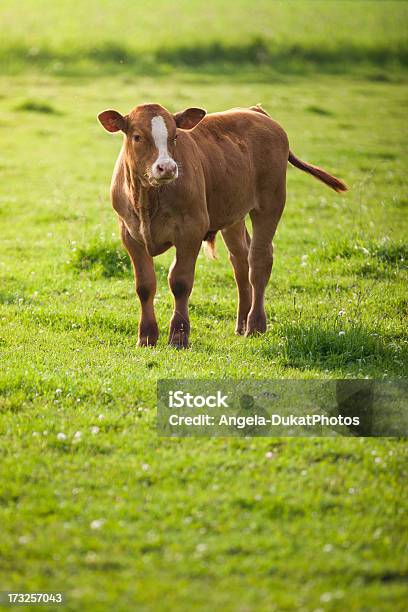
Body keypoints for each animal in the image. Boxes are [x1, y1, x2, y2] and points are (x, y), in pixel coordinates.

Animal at [99, 103, 348, 346]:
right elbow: (145, 285)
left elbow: (180, 282)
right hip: (234, 216)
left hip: (271, 203)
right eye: (137, 137)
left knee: (259, 261)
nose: (167, 167)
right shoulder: (129, 235)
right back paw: (241, 323)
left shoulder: (191, 231)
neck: (148, 199)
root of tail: (256, 111)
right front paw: (146, 337)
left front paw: (179, 337)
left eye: (175, 136)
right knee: (240, 261)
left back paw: (255, 326)